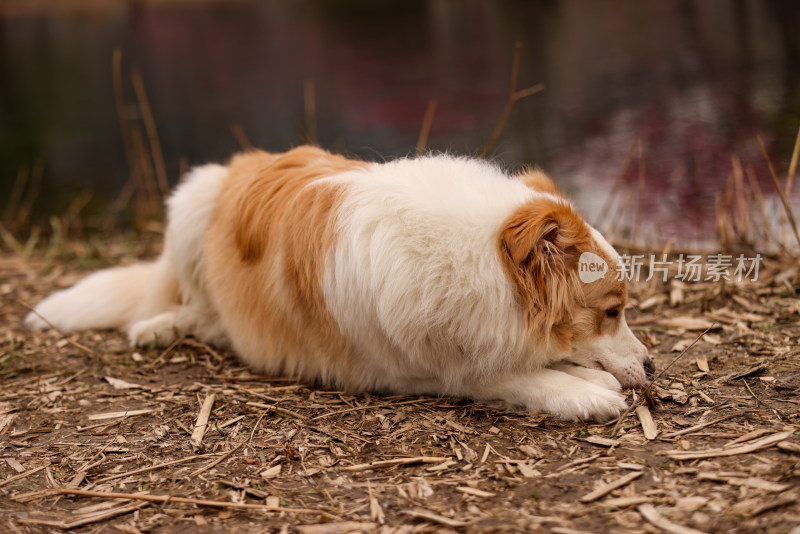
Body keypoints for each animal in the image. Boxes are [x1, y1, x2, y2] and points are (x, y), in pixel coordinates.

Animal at [25, 147, 652, 422]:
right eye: (612, 311)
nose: (651, 366)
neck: (469, 258)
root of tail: (251, 159)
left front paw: (578, 373)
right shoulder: (405, 366)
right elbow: (497, 374)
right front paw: (578, 391)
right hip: (191, 202)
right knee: (198, 309)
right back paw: (158, 327)